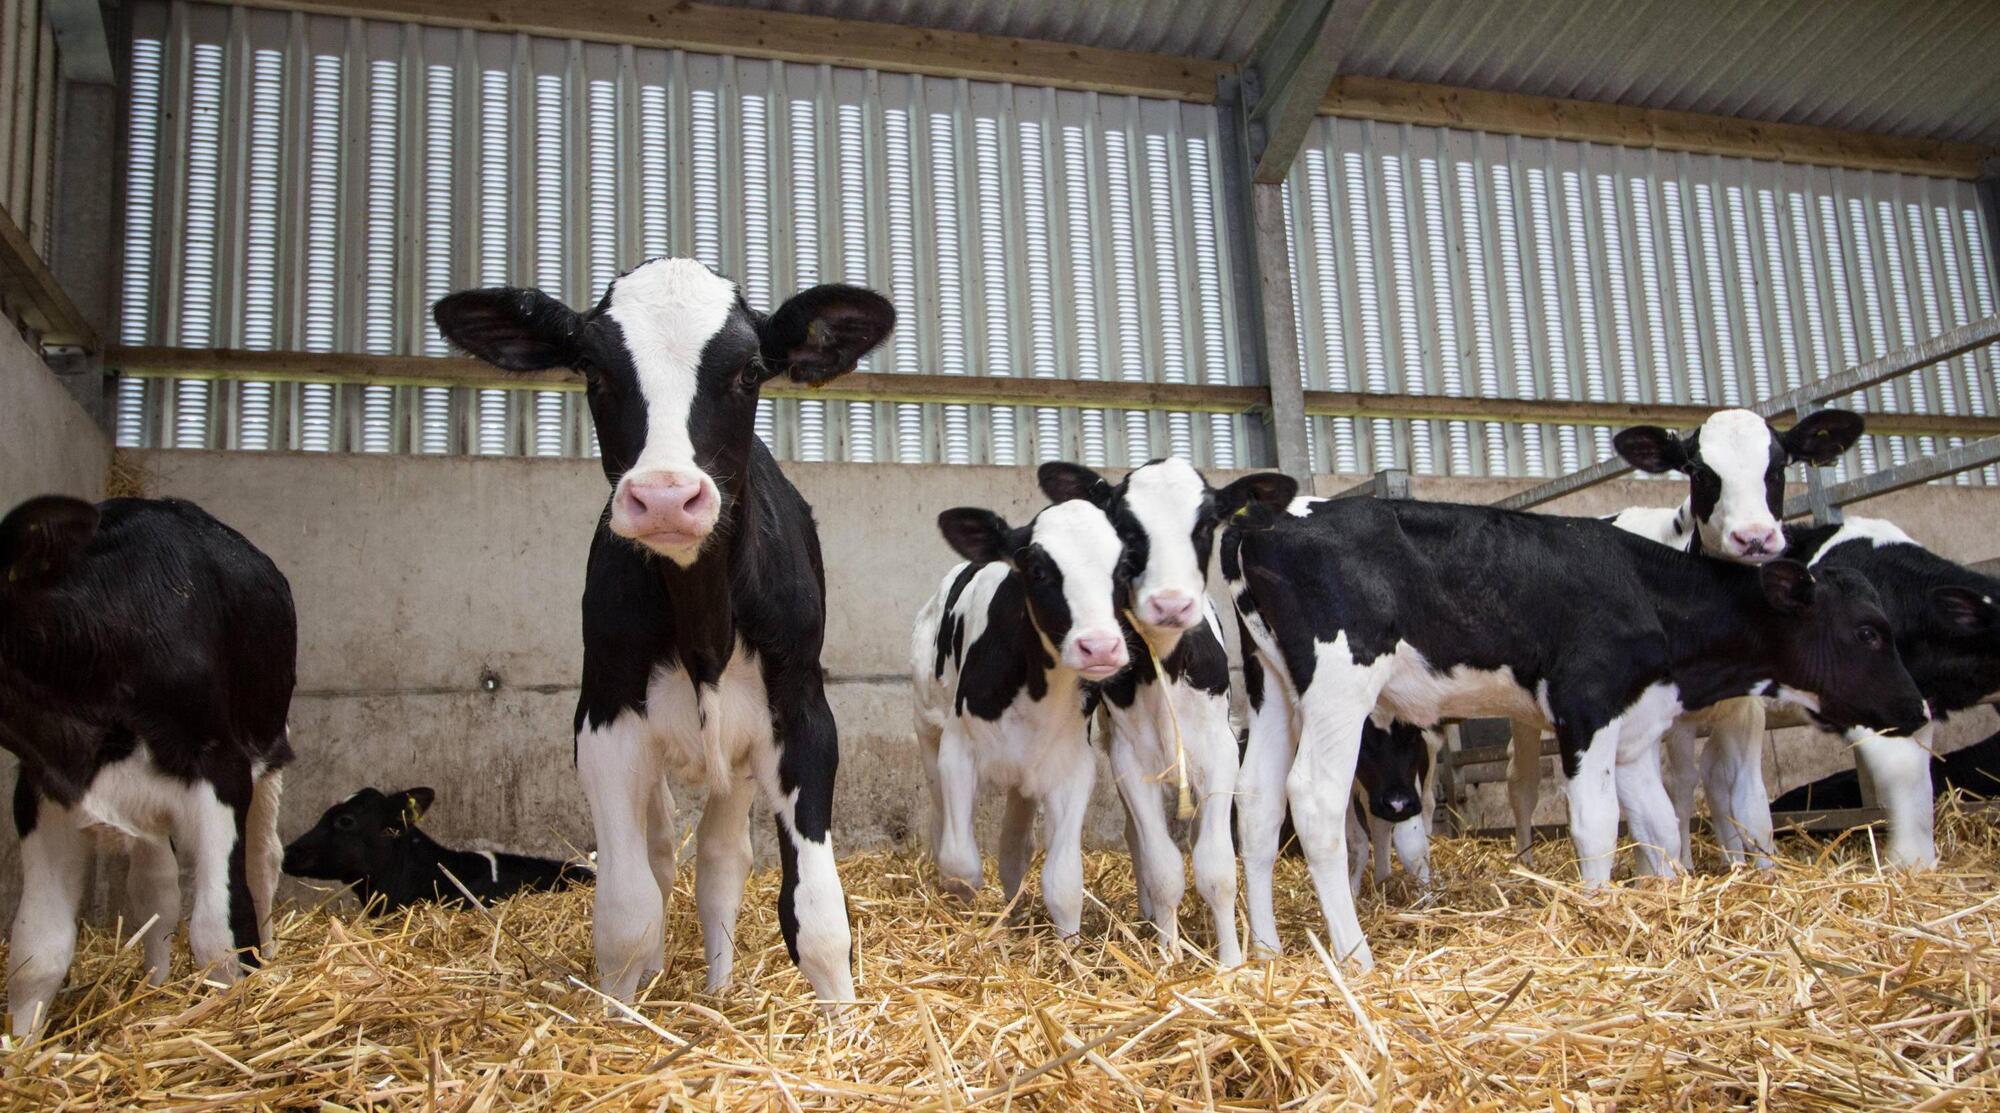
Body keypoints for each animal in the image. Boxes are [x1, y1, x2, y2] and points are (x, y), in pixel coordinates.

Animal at [0, 495, 293, 1037]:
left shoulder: (222, 770)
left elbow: (218, 932)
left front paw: (233, 1019)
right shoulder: (41, 789)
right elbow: (37, 950)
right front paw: (24, 1047)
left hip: (270, 744)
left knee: (263, 861)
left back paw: (271, 956)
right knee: (155, 886)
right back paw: (155, 985)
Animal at [433, 258, 894, 1006]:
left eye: (749, 371)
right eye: (593, 369)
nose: (668, 496)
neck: (703, 624)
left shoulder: (802, 714)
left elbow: (819, 915)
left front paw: (844, 1023)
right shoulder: (604, 720)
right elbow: (627, 913)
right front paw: (620, 1012)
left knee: (720, 859)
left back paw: (719, 989)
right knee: (657, 853)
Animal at [910, 500, 1130, 939]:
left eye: (1123, 568)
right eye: (1038, 570)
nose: (1100, 646)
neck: (1035, 688)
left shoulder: (1072, 766)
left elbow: (1063, 881)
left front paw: (1068, 947)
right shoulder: (957, 753)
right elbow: (961, 864)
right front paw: (966, 925)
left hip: (1025, 774)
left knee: (1014, 846)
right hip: (927, 729)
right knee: (942, 823)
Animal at [1037, 459, 1291, 966]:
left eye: (1207, 524)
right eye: (1125, 528)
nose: (1171, 603)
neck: (1167, 667)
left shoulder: (1220, 752)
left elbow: (1216, 868)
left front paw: (1231, 961)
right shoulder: (1130, 762)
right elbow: (1163, 868)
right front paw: (1169, 953)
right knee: (1139, 840)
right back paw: (1151, 917)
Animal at [1224, 493, 1929, 967]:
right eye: (1869, 631)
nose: (1918, 709)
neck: (1646, 594)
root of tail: (1267, 521)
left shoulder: (1636, 730)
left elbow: (1658, 827)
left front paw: (1665, 903)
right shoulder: (1585, 708)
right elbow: (1597, 825)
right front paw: (1598, 913)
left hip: (1270, 688)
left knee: (1257, 806)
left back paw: (1266, 953)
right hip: (1341, 682)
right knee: (1314, 799)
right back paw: (1356, 958)